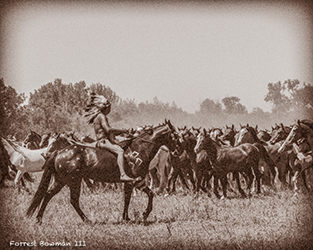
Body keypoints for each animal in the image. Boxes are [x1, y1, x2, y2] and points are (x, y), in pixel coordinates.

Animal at [26, 120, 177, 224]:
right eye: (175, 135)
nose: (176, 152)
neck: (139, 149)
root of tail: (59, 152)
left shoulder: (133, 182)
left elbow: (131, 198)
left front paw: (127, 217)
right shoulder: (136, 181)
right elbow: (145, 195)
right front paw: (144, 214)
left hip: (63, 181)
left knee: (53, 196)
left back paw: (41, 219)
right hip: (71, 181)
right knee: (66, 199)